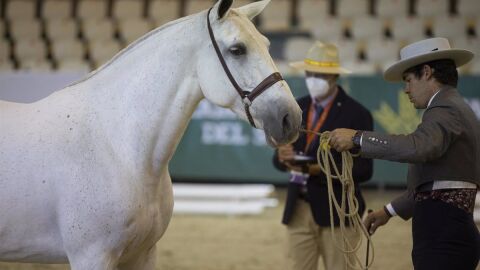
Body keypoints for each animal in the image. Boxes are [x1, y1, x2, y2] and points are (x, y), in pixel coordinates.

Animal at [0, 0, 300, 268]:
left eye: (267, 45)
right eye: (237, 49)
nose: (291, 118)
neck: (118, 149)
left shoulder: (142, 254)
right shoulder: (91, 256)